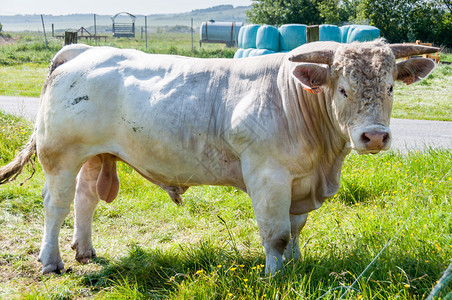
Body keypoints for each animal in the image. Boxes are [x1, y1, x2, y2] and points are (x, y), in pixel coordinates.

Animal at [0, 39, 438, 274]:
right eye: (343, 88)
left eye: (390, 87)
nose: (374, 136)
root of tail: (84, 49)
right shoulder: (268, 176)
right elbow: (276, 233)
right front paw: (276, 275)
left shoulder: (300, 182)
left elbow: (296, 228)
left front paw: (296, 265)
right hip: (60, 154)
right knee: (55, 204)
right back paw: (51, 261)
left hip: (96, 154)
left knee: (85, 199)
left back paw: (86, 250)